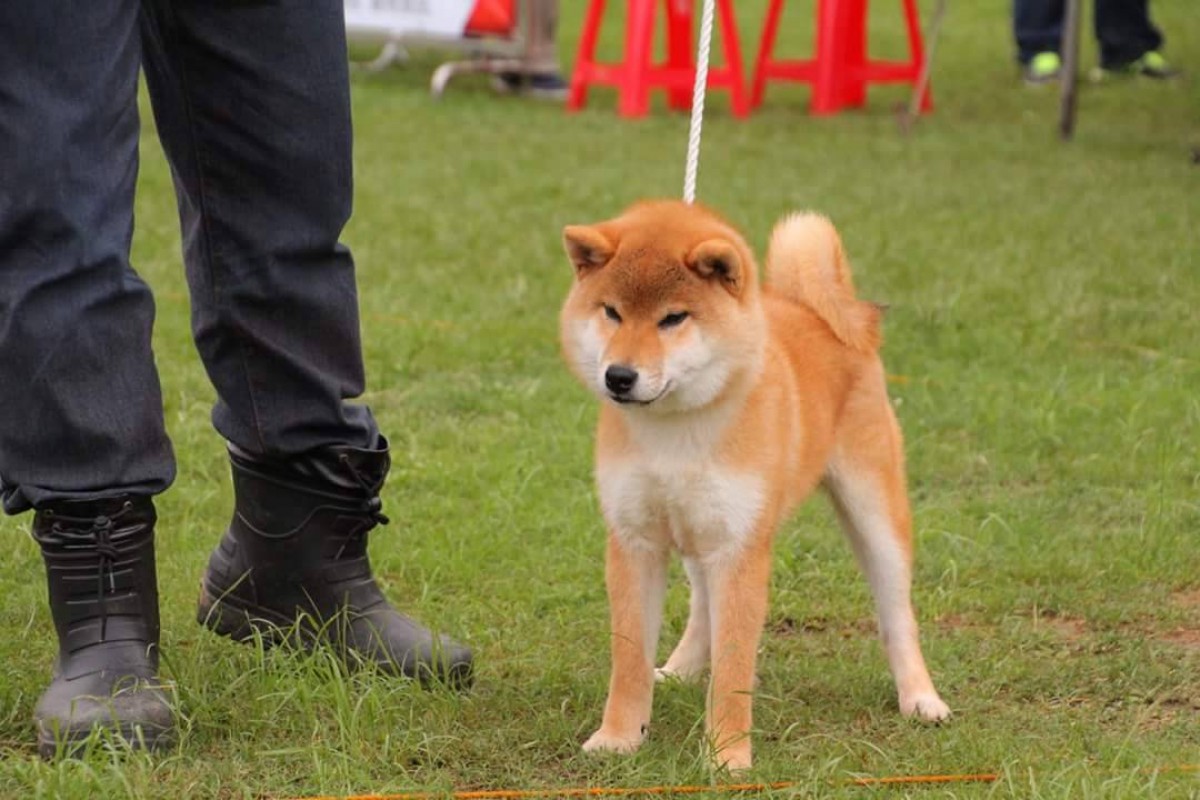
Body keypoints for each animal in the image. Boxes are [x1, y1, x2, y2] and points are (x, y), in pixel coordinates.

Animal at [559, 199, 945, 767]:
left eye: (673, 317)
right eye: (611, 311)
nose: (619, 376)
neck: (676, 431)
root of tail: (815, 311)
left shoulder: (740, 547)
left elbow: (734, 665)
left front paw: (727, 756)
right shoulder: (635, 540)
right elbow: (628, 659)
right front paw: (618, 738)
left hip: (875, 514)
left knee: (897, 615)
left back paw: (920, 697)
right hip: (698, 531)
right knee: (701, 604)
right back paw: (681, 667)